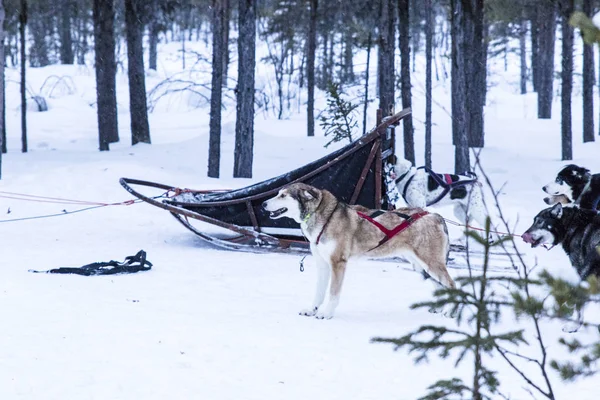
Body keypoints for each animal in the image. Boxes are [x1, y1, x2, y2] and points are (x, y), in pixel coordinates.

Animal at [262, 184, 454, 318]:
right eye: (278, 193)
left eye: (283, 195)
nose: (263, 203)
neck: (324, 217)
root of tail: (435, 216)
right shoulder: (322, 264)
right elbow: (319, 292)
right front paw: (312, 309)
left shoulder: (337, 263)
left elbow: (333, 293)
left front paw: (326, 313)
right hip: (421, 267)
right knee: (442, 287)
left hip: (431, 265)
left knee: (451, 285)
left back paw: (450, 312)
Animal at [520, 203, 600, 332]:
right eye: (534, 221)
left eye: (540, 222)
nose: (523, 236)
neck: (573, 226)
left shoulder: (584, 275)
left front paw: (574, 326)